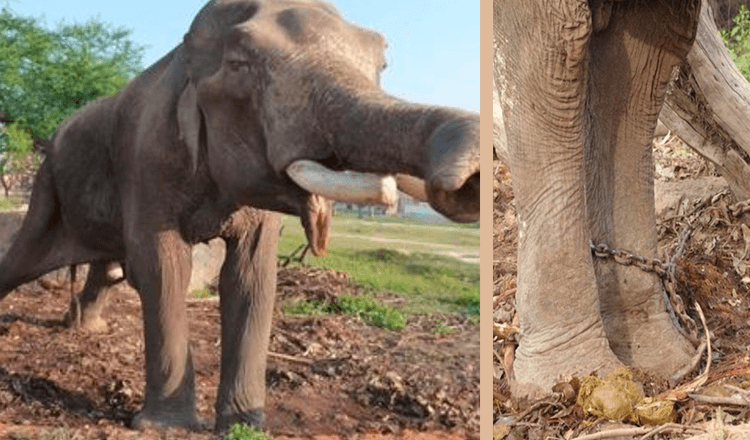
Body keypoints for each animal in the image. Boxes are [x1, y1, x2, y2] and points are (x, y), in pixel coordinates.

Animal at [0, 0, 482, 434]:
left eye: (383, 60)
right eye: (239, 64)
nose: (469, 178)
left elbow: (251, 275)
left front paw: (245, 425)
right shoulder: (147, 158)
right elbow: (165, 268)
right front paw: (166, 427)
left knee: (109, 268)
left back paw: (86, 327)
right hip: (47, 185)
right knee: (23, 259)